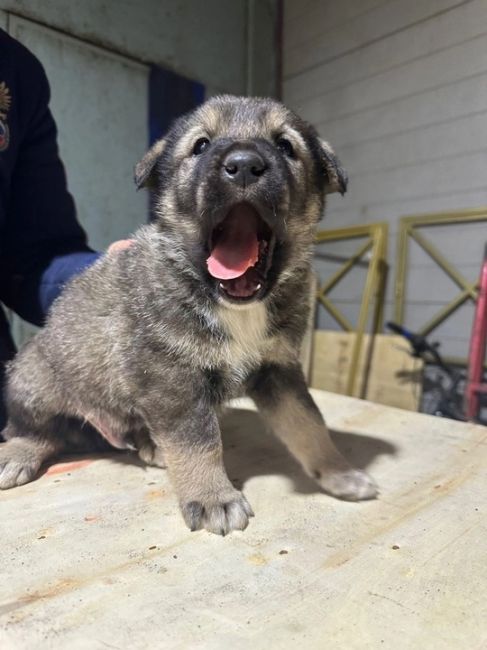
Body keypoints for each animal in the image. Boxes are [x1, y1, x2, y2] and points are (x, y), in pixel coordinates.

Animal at [0, 95, 378, 532]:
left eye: (285, 145)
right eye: (201, 145)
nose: (244, 164)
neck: (233, 305)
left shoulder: (279, 369)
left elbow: (309, 423)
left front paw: (338, 473)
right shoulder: (173, 379)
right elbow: (198, 441)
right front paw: (214, 497)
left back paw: (150, 444)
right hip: (33, 377)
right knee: (36, 428)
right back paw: (19, 454)